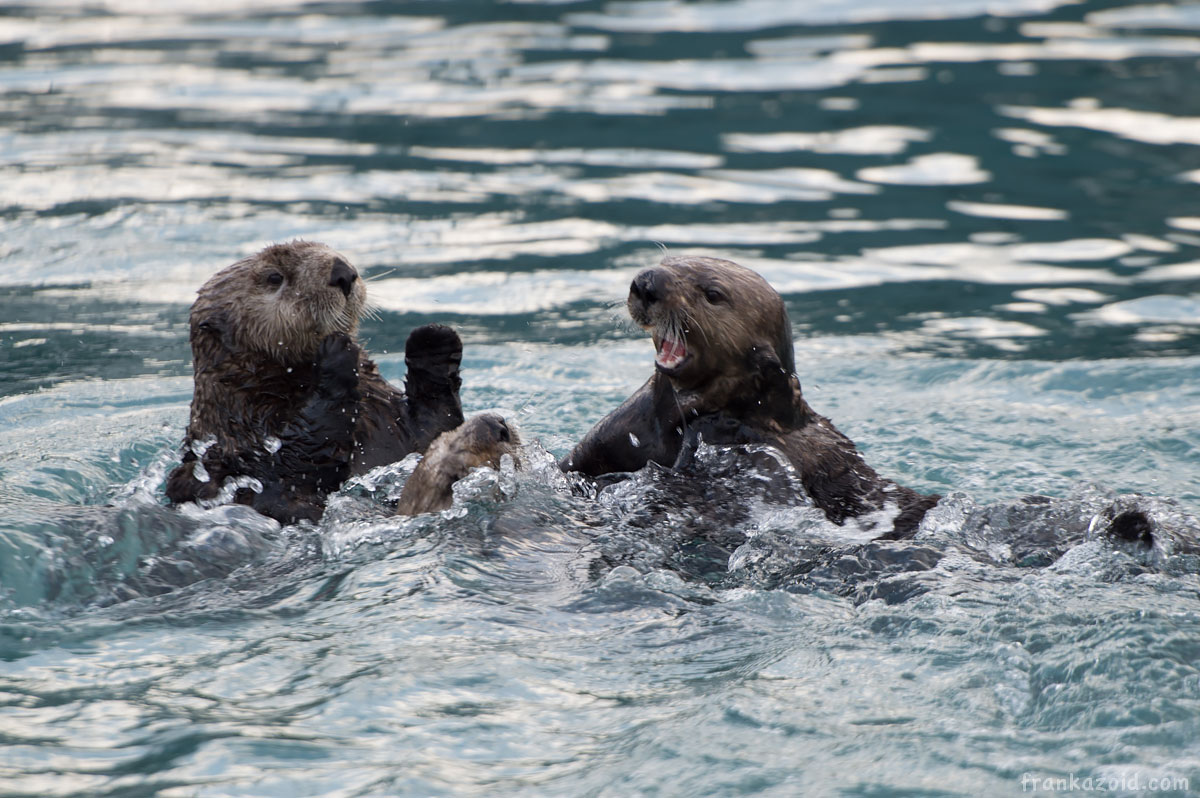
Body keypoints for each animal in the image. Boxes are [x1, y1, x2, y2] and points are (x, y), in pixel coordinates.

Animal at [166, 240, 465, 525]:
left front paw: (433, 341)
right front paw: (336, 356)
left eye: (328, 248)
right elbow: (299, 455)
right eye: (274, 277)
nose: (343, 273)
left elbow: (433, 430)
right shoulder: (247, 435)